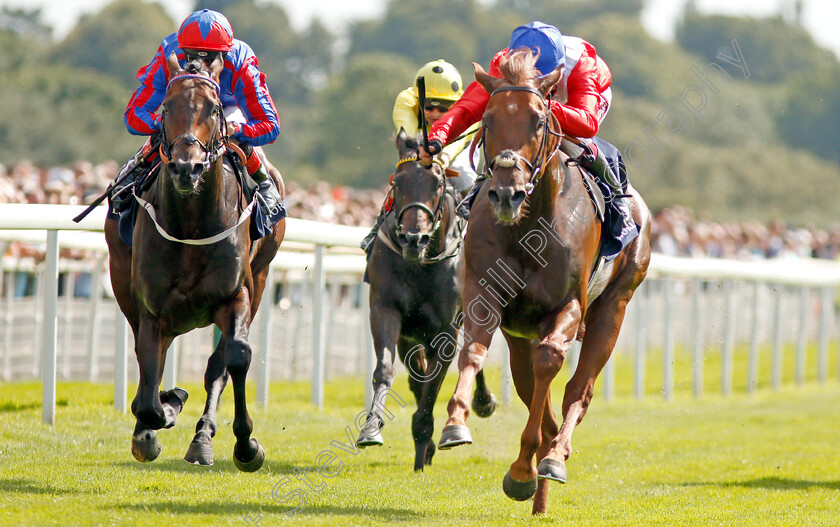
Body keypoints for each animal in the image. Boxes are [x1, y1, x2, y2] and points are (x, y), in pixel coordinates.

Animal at [102, 55, 284, 472]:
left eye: (214, 109)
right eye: (167, 108)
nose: (188, 168)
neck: (192, 223)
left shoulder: (236, 295)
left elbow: (236, 356)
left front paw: (247, 446)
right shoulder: (152, 308)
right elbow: (149, 387)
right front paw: (161, 413)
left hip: (260, 278)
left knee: (218, 364)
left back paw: (202, 439)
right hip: (124, 283)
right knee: (149, 360)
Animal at [356, 131, 498, 470]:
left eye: (437, 183)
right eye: (398, 183)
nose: (412, 238)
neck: (421, 263)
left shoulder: (447, 328)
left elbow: (434, 385)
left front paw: (426, 444)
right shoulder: (385, 310)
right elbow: (386, 370)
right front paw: (371, 428)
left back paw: (483, 401)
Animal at [436, 51, 652, 512]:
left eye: (538, 120)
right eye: (488, 119)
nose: (506, 193)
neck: (527, 226)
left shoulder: (568, 304)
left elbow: (551, 362)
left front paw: (524, 470)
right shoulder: (483, 292)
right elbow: (474, 351)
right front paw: (456, 422)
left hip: (614, 306)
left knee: (578, 390)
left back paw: (553, 458)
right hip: (520, 334)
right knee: (531, 385)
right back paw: (541, 488)